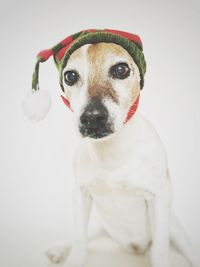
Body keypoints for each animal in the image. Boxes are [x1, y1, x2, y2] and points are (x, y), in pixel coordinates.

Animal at [40, 40, 197, 266]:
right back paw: (59, 251)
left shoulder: (159, 198)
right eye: (70, 76)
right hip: (98, 226)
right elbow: (79, 243)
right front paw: (72, 259)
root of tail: (135, 247)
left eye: (121, 69)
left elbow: (160, 250)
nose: (92, 117)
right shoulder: (81, 196)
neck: (110, 152)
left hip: (175, 231)